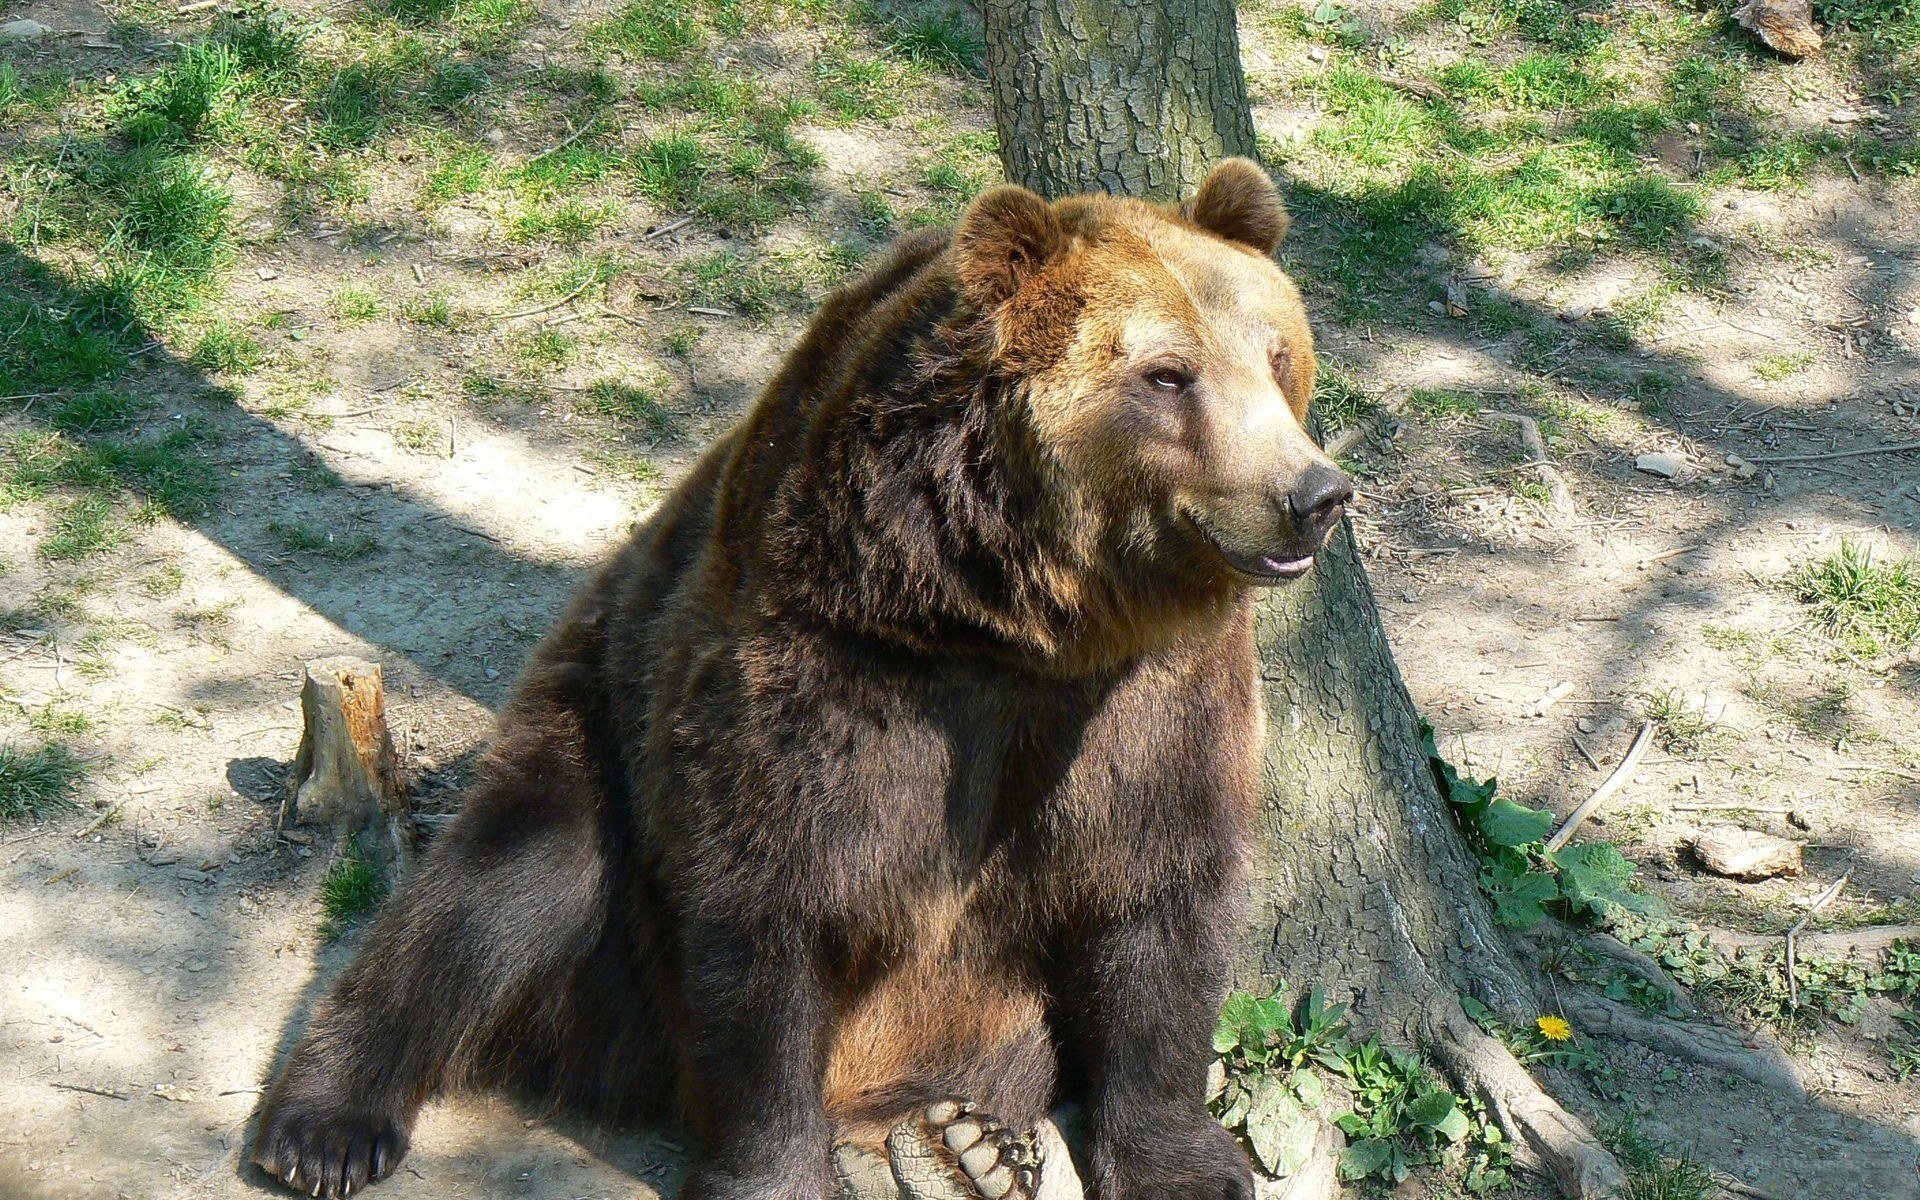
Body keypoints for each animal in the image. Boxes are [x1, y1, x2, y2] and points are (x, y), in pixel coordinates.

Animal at [249, 157, 1351, 1200]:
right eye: (1168, 375)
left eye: (1276, 355)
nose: (1314, 494)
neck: (1021, 617)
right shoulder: (838, 663)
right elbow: (774, 897)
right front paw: (770, 1173)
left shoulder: (1149, 700)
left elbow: (1157, 901)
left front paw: (1185, 1162)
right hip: (598, 726)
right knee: (499, 885)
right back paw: (321, 1124)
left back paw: (955, 1146)